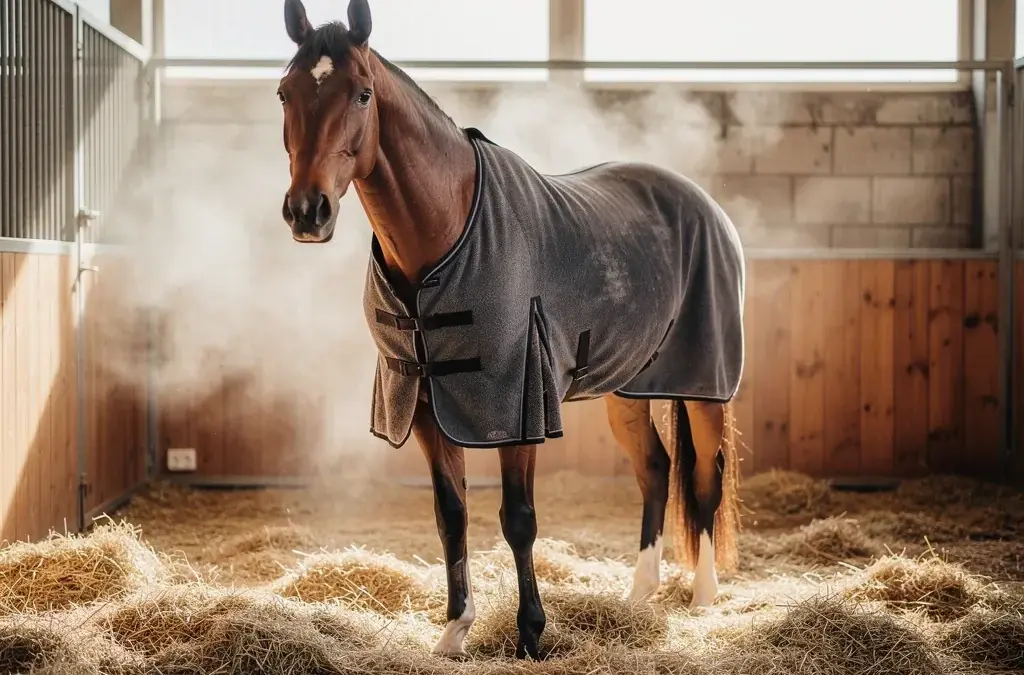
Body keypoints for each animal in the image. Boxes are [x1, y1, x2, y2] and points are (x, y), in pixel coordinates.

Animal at [277, 0, 745, 660]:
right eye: (285, 92)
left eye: (362, 94)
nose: (307, 212)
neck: (449, 229)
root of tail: (704, 204)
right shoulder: (426, 401)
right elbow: (451, 514)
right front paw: (454, 630)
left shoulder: (518, 404)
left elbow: (518, 519)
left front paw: (530, 633)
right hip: (628, 388)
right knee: (655, 468)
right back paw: (638, 595)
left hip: (704, 385)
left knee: (705, 477)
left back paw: (703, 596)